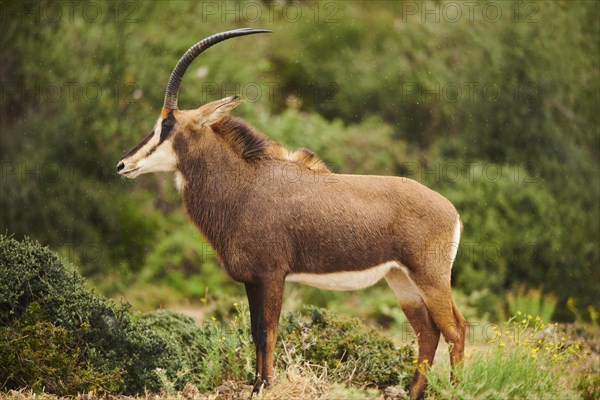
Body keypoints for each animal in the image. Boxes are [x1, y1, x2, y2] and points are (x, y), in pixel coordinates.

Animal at [116, 28, 464, 400]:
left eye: (166, 125)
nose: (123, 164)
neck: (246, 185)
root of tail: (451, 210)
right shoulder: (252, 280)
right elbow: (254, 331)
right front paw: (256, 385)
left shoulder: (272, 276)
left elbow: (267, 331)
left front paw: (265, 386)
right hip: (402, 281)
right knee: (428, 332)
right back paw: (414, 392)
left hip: (430, 276)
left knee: (455, 330)